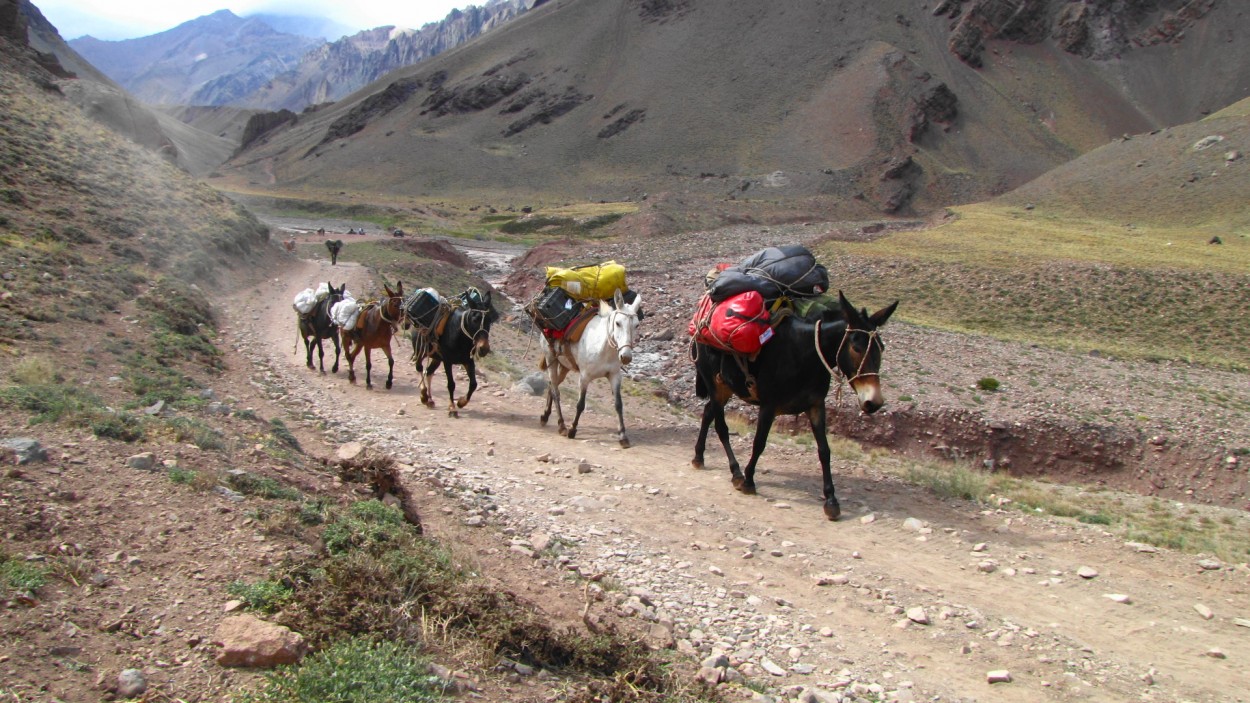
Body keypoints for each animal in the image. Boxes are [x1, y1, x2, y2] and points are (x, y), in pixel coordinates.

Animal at [537, 291, 645, 445]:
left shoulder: (615, 376)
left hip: (564, 366)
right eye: (618, 323)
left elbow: (618, 405)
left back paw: (546, 416)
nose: (626, 357)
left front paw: (623, 436)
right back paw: (562, 425)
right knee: (556, 390)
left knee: (552, 385)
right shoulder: (584, 377)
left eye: (636, 325)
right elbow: (580, 404)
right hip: (551, 358)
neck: (603, 348)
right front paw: (572, 430)